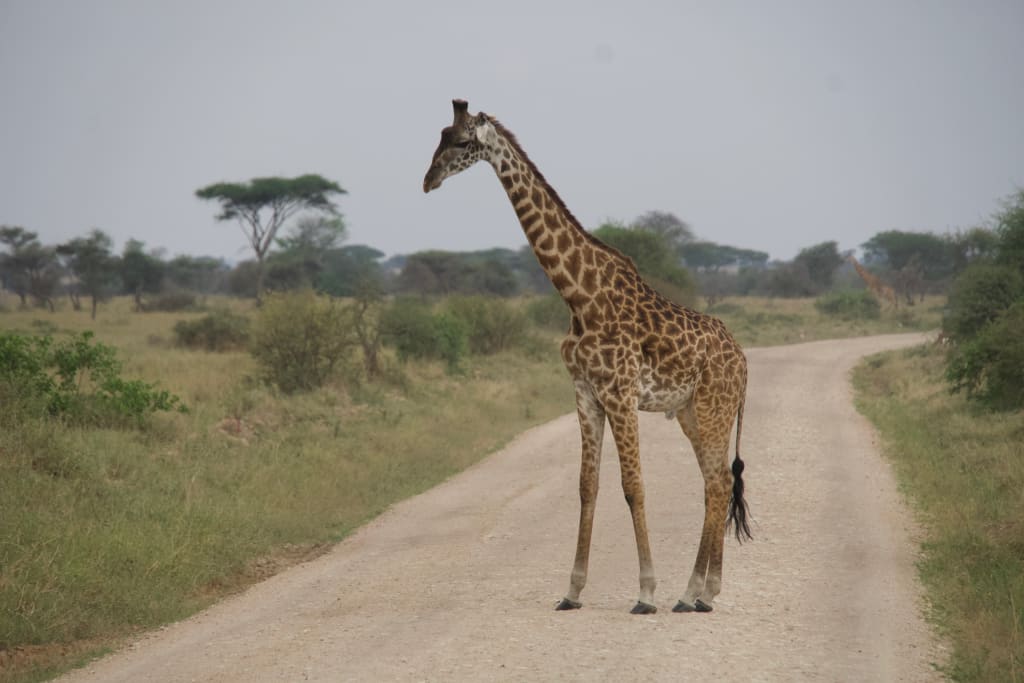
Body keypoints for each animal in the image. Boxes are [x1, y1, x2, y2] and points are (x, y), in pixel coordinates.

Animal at [423, 100, 750, 615]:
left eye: (459, 141)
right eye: (438, 136)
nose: (428, 179)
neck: (578, 295)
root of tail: (743, 360)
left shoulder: (619, 392)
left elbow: (633, 486)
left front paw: (645, 592)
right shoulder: (584, 392)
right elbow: (586, 486)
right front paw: (572, 591)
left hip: (714, 406)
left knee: (717, 483)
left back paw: (694, 592)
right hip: (690, 411)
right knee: (713, 481)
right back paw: (699, 592)